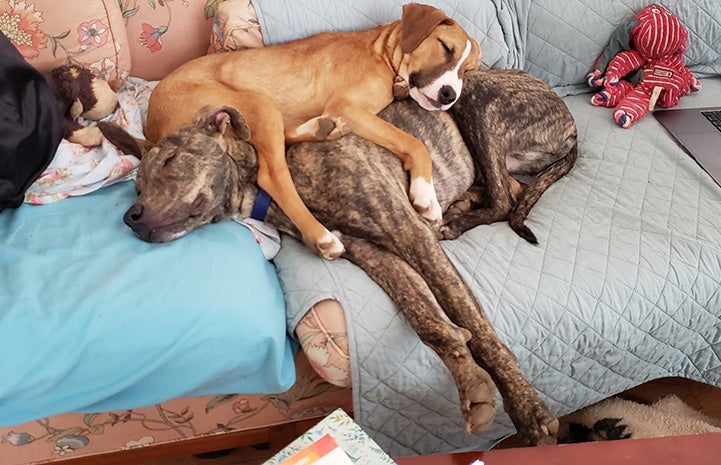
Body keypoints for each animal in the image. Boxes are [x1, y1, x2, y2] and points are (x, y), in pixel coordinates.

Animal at [98, 68, 576, 442]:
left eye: (170, 161)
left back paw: (455, 218)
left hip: (474, 101)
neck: (279, 186)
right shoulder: (377, 256)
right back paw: (459, 209)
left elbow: (475, 324)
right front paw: (470, 381)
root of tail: (566, 115)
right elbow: (430, 321)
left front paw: (528, 409)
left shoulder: (408, 234)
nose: (130, 217)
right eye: (135, 185)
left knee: (503, 197)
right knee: (507, 191)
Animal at [144, 2, 480, 258]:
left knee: (283, 140)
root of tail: (149, 127)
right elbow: (413, 143)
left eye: (468, 72)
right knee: (273, 175)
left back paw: (322, 128)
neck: (381, 54)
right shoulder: (349, 107)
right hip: (258, 102)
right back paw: (322, 237)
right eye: (445, 48)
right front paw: (426, 195)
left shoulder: (351, 112)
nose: (450, 94)